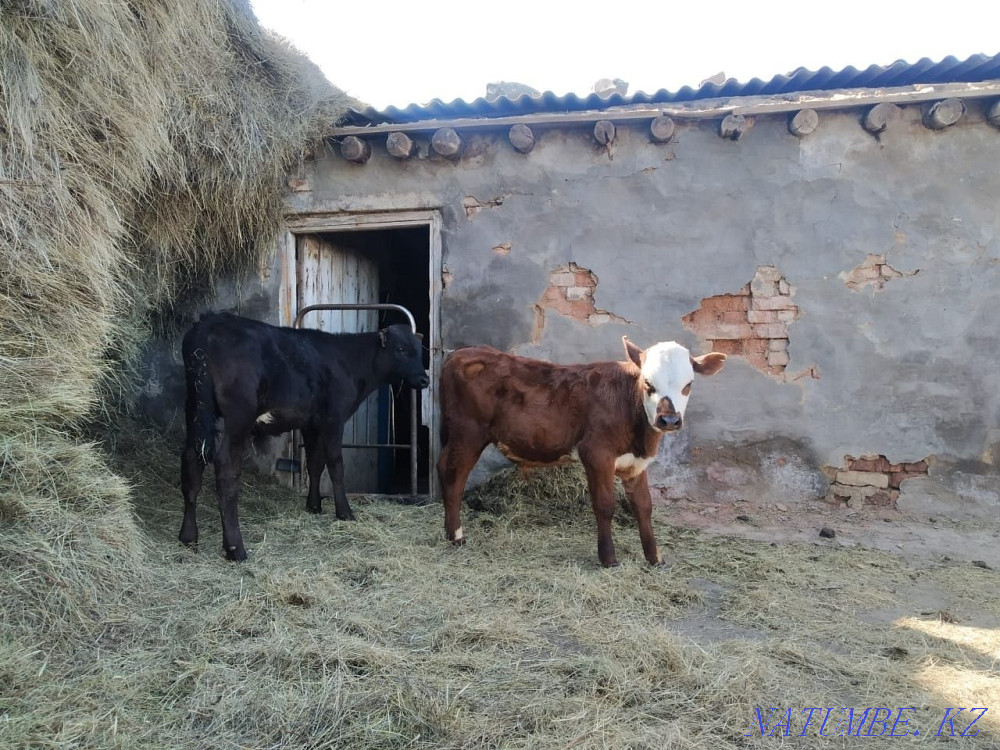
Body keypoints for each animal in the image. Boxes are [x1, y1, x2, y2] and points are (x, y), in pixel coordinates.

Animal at [179, 312, 430, 561]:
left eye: (419, 349)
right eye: (400, 349)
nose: (424, 379)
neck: (349, 362)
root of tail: (210, 322)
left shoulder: (311, 425)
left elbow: (315, 464)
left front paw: (314, 506)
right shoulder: (333, 420)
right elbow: (335, 465)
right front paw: (345, 512)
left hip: (195, 410)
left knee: (192, 461)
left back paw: (188, 537)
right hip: (239, 415)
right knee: (226, 468)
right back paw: (235, 549)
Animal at [436, 336, 726, 567]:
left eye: (688, 384)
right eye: (648, 383)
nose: (669, 420)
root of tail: (462, 351)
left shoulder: (635, 463)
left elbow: (644, 507)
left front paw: (654, 559)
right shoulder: (596, 453)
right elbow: (605, 505)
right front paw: (608, 559)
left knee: (442, 466)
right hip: (469, 432)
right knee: (454, 476)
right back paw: (457, 536)